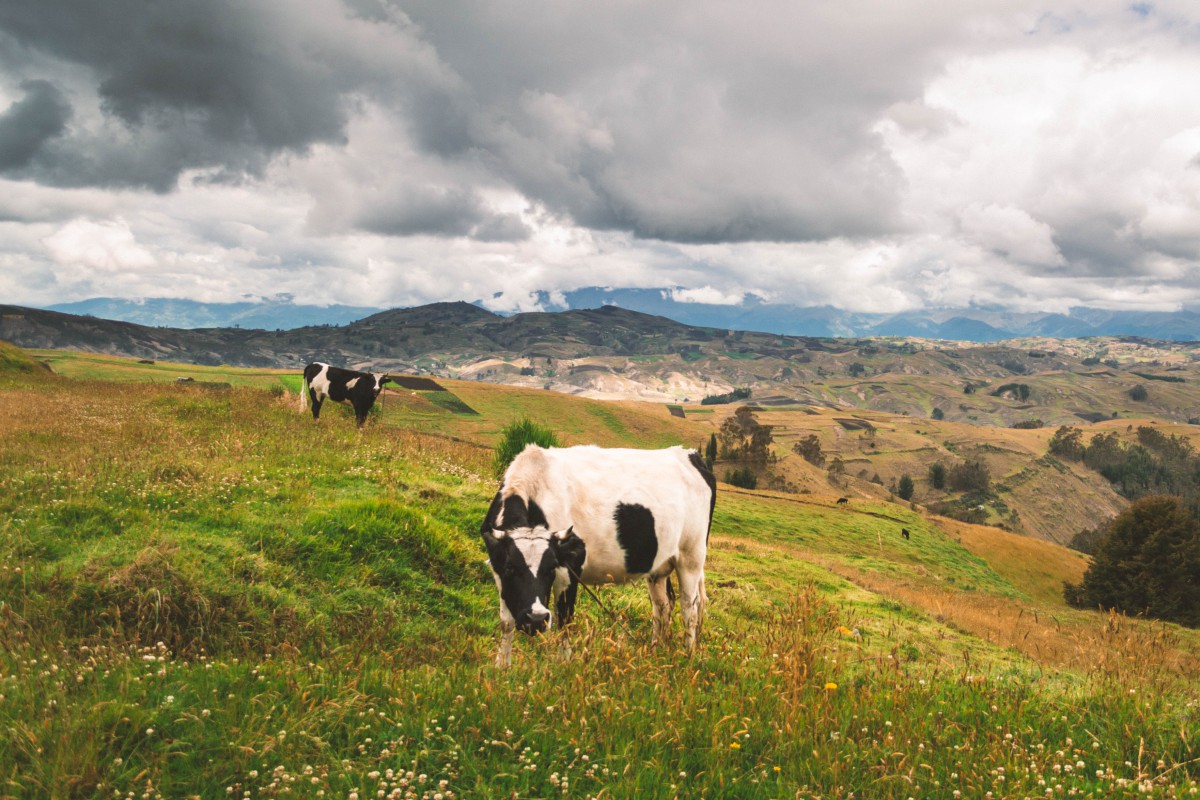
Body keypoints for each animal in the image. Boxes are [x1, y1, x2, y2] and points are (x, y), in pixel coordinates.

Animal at [482, 443, 715, 671]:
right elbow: (506, 621)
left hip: (691, 556)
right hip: (659, 567)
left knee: (690, 606)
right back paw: (656, 651)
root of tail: (689, 454)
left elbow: (565, 617)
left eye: (550, 567)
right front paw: (502, 666)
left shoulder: (570, 566)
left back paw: (689, 655)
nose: (536, 620)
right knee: (663, 606)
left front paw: (564, 664)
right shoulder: (497, 568)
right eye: (510, 568)